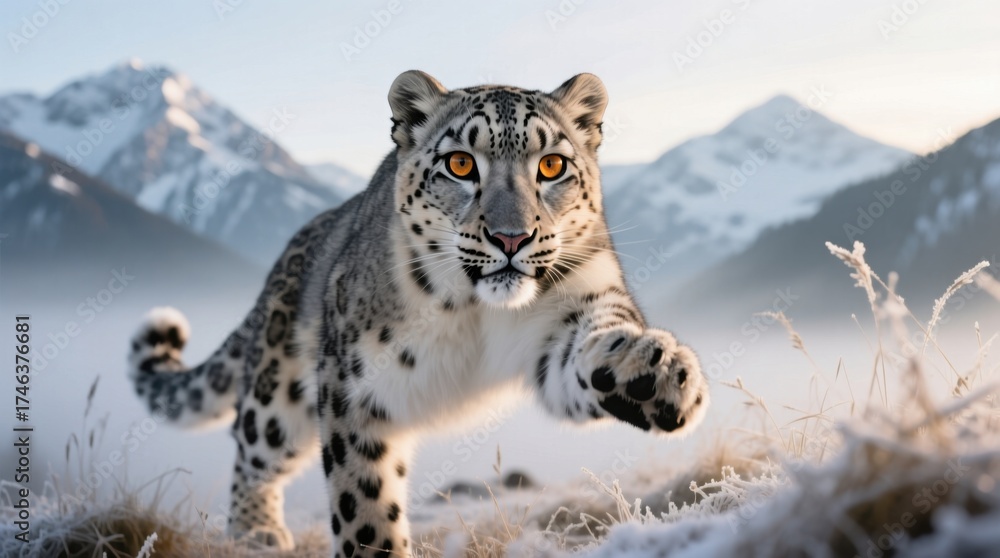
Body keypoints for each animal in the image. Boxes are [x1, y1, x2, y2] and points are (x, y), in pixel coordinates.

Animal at [126, 70, 710, 557]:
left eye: (552, 165)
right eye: (460, 163)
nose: (512, 238)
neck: (476, 312)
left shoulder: (571, 314)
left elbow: (597, 344)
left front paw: (655, 373)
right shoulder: (354, 389)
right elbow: (363, 501)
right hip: (280, 392)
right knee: (251, 445)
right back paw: (257, 534)